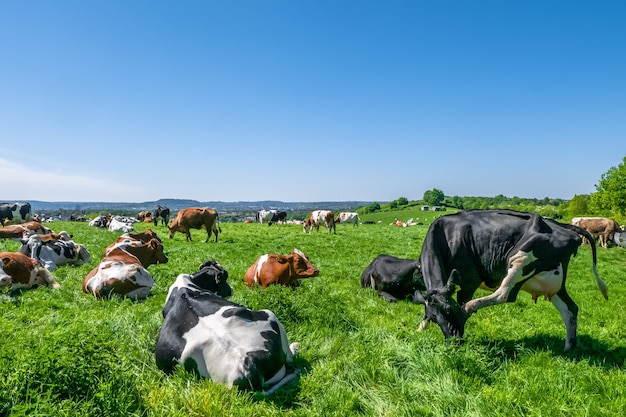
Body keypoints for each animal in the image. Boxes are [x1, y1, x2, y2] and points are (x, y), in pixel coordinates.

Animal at [154, 260, 300, 394]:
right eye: (225, 276)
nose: (232, 289)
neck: (185, 286)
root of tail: (247, 364)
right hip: (270, 314)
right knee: (289, 358)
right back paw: (295, 347)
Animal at [412, 210, 608, 350]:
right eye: (434, 318)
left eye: (447, 310)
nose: (453, 340)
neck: (446, 236)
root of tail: (562, 226)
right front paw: (419, 329)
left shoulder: (469, 281)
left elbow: (462, 302)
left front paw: (462, 313)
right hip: (554, 283)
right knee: (570, 309)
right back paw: (569, 348)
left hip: (519, 257)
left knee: (505, 294)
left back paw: (471, 306)